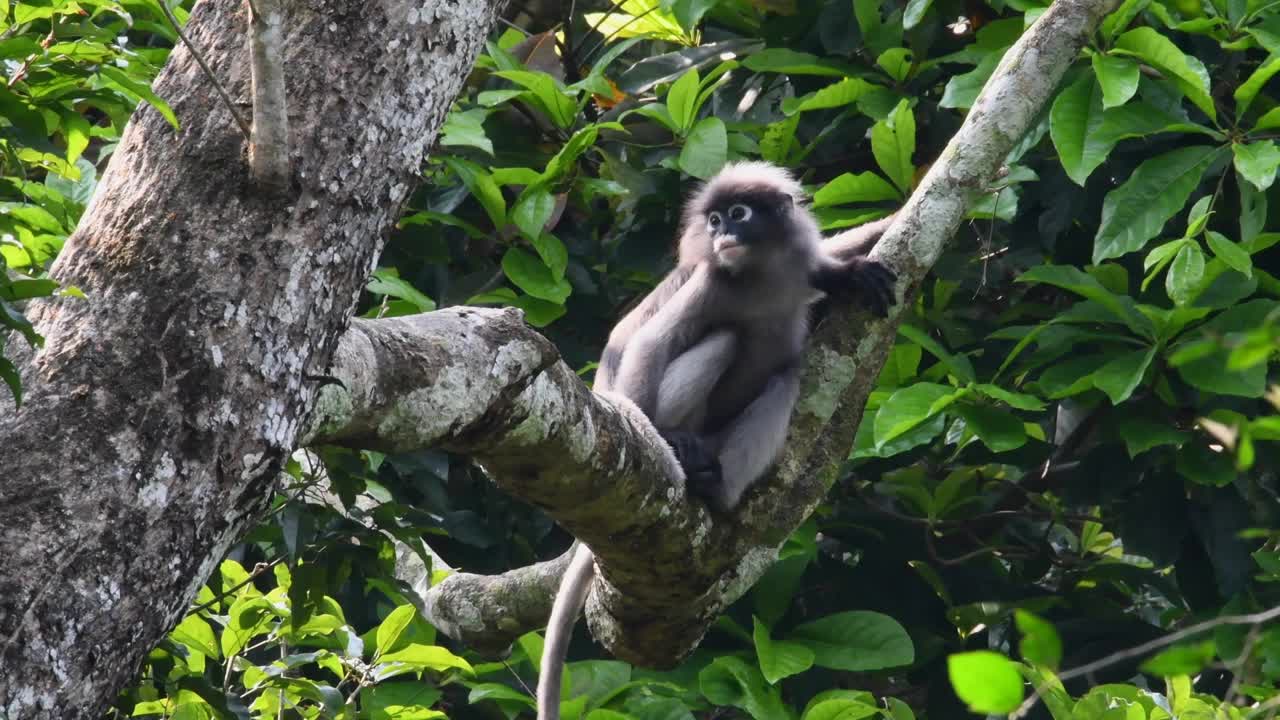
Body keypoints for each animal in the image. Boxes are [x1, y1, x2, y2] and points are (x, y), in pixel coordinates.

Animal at [535, 162, 896, 717]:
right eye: (714, 219)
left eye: (738, 214)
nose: (721, 231)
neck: (761, 275)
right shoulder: (710, 283)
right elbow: (651, 343)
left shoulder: (797, 268)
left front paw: (858, 262)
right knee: (722, 340)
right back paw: (681, 450)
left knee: (785, 378)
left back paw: (719, 487)